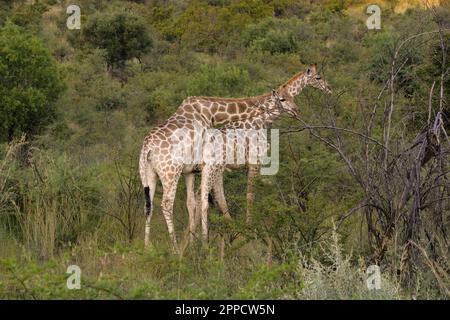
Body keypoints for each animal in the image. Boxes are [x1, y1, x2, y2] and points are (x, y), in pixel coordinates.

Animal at [137, 88, 298, 252]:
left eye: (293, 97)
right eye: (282, 99)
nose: (296, 111)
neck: (210, 112)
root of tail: (147, 148)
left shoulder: (190, 170)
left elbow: (193, 203)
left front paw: (194, 243)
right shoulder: (208, 163)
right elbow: (206, 201)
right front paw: (204, 243)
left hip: (148, 174)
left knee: (148, 205)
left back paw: (147, 247)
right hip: (171, 173)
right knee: (167, 204)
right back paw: (175, 248)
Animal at [192, 64, 332, 240]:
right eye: (318, 77)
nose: (329, 89)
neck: (263, 121)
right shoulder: (255, 160)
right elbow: (250, 194)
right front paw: (251, 229)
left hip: (216, 169)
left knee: (204, 195)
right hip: (214, 168)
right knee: (202, 195)